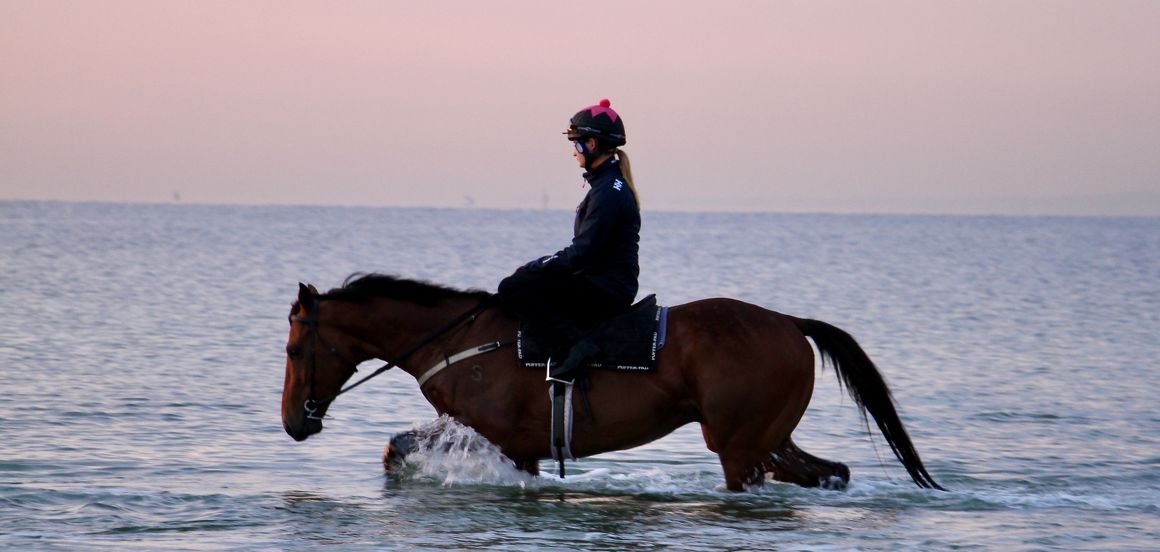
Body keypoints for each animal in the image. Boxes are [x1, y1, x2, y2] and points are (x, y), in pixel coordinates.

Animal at [280, 272, 941, 491]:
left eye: (292, 349)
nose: (292, 422)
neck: (456, 339)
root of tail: (789, 323)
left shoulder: (495, 435)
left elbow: (396, 451)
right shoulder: (519, 447)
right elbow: (396, 450)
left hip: (740, 448)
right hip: (770, 440)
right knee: (831, 472)